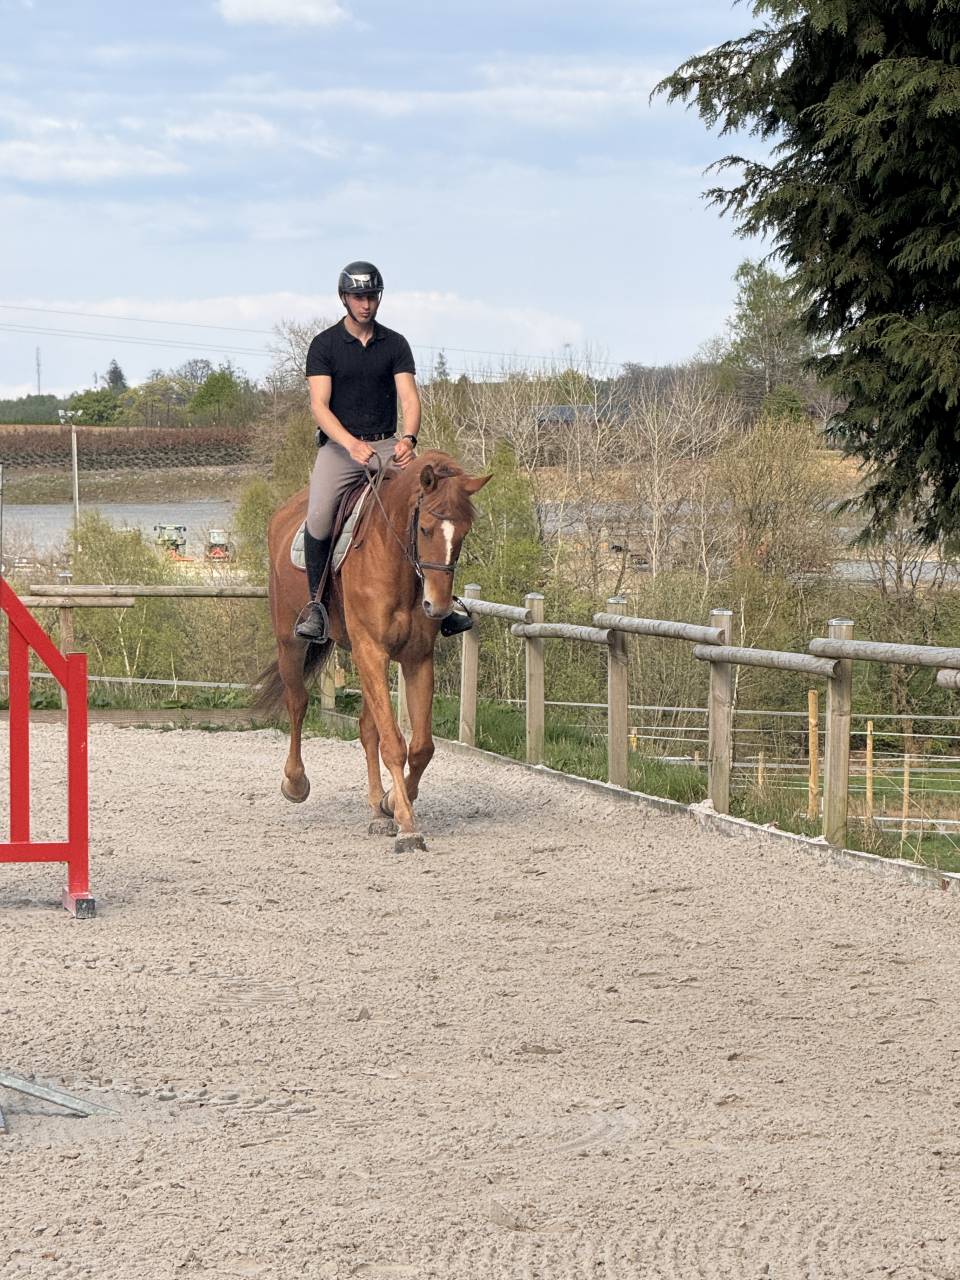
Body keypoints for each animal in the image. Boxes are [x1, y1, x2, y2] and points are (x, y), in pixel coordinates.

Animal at [256, 450, 490, 852]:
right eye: (425, 528)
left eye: (463, 533)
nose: (438, 607)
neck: (394, 561)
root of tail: (284, 513)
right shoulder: (372, 651)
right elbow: (394, 744)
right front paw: (408, 826)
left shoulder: (415, 658)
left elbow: (421, 747)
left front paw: (393, 803)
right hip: (292, 641)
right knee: (297, 702)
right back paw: (295, 782)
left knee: (367, 729)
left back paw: (377, 811)